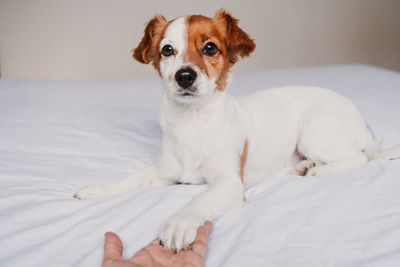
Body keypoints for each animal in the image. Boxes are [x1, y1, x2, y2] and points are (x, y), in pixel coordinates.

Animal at [74, 9, 400, 252]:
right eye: (167, 50)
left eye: (210, 47)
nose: (184, 76)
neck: (193, 124)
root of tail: (361, 123)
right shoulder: (162, 173)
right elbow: (131, 179)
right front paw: (98, 189)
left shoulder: (228, 184)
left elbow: (198, 200)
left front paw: (179, 223)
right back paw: (303, 167)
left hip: (313, 133)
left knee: (358, 158)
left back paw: (320, 170)